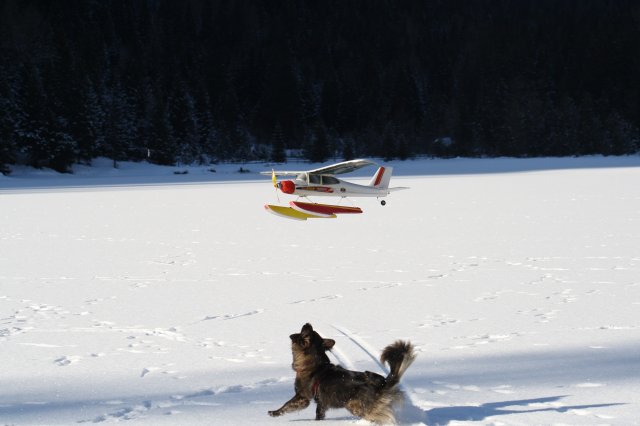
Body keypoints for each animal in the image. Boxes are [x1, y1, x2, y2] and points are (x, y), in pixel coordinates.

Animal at [268, 324, 416, 424]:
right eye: (310, 330)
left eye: (306, 330)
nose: (307, 323)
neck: (313, 364)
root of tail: (383, 383)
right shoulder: (321, 403)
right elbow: (319, 414)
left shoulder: (303, 397)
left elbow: (287, 405)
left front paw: (274, 413)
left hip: (354, 405)